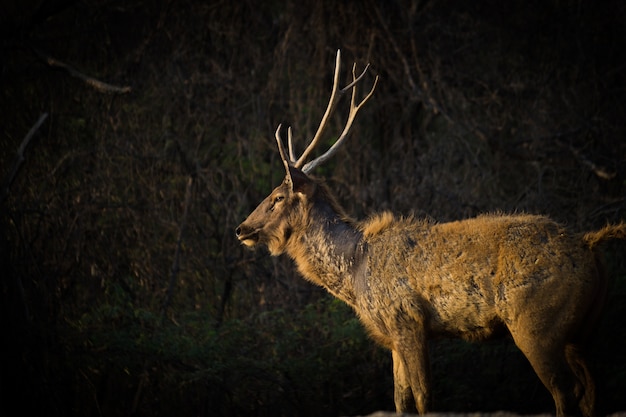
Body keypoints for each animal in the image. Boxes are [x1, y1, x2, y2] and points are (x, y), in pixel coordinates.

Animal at [235, 49, 624, 416]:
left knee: (565, 392)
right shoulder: (393, 338)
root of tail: (590, 244)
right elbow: (400, 400)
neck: (356, 273)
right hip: (581, 330)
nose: (241, 229)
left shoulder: (407, 321)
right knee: (590, 391)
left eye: (277, 197)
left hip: (536, 324)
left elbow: (424, 398)